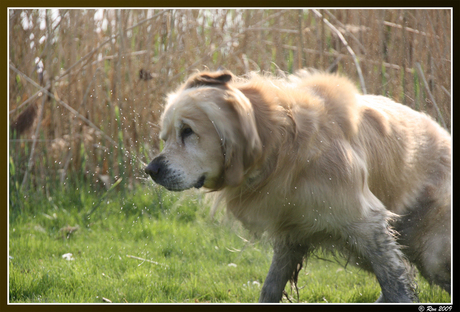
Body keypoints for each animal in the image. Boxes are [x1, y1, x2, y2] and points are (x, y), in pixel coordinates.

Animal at [146, 69, 452, 302]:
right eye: (164, 137)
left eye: (187, 132)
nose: (151, 170)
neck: (281, 143)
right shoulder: (291, 232)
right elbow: (270, 287)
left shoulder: (367, 223)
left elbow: (395, 284)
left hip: (432, 253)